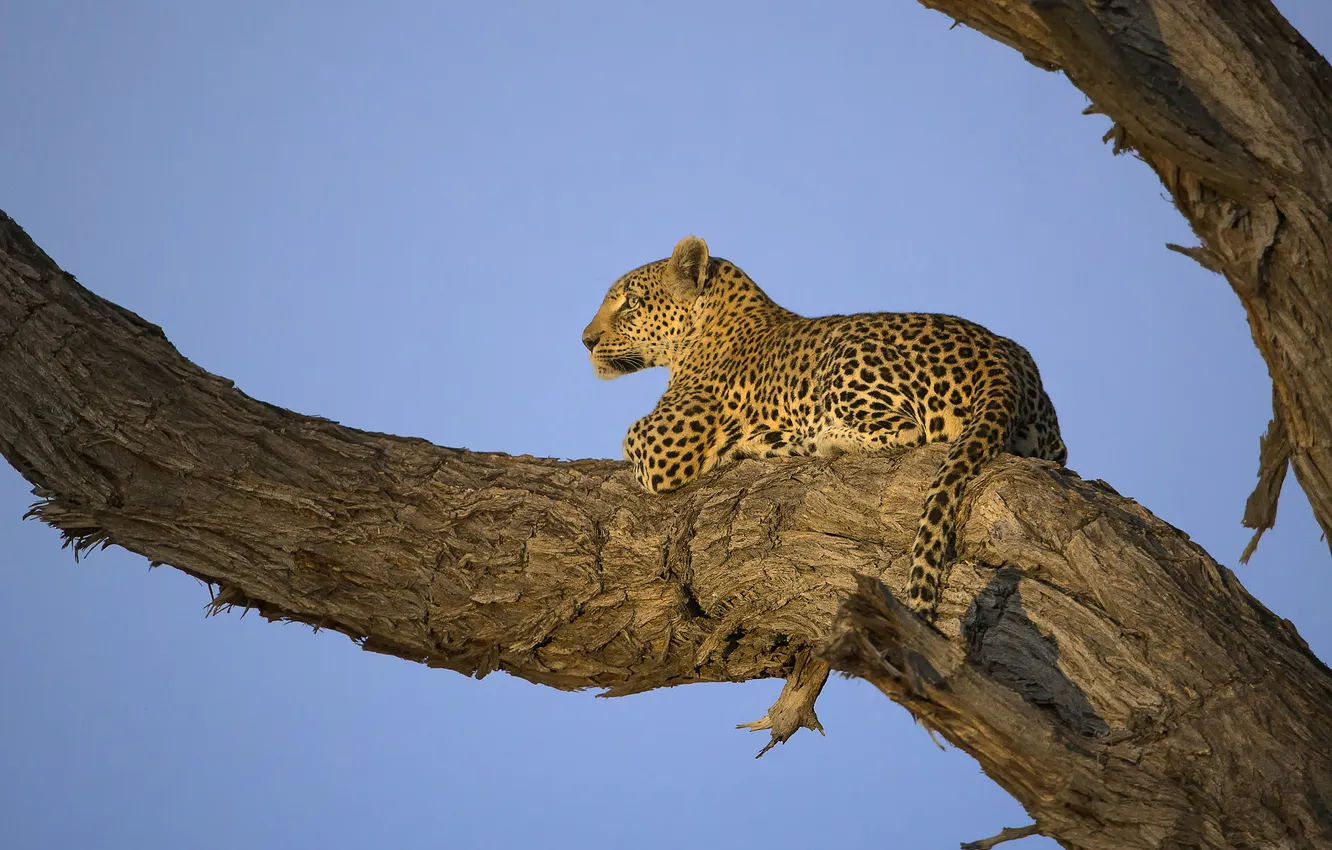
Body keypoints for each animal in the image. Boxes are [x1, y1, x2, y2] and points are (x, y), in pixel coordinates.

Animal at [582, 235, 1067, 622]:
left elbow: (629, 437)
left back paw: (807, 439)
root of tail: (998, 360)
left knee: (907, 431)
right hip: (1049, 441)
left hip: (848, 354)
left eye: (630, 303)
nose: (586, 340)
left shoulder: (664, 448)